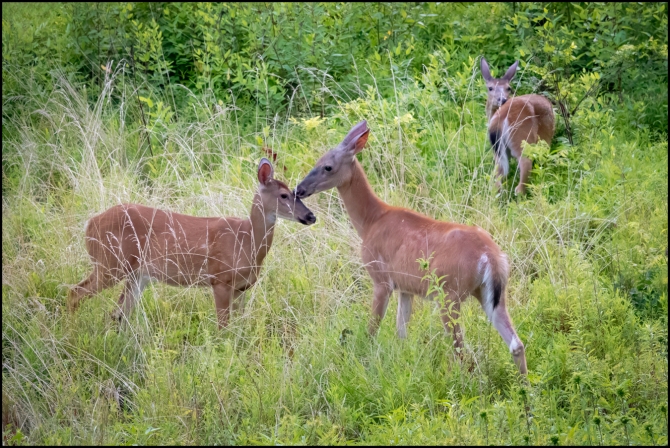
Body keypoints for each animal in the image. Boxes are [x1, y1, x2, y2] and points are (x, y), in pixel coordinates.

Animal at [68, 159, 318, 328]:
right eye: (284, 195)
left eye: (297, 193)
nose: (311, 216)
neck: (246, 240)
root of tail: (90, 224)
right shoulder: (220, 279)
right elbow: (223, 328)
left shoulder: (242, 287)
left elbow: (239, 327)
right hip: (110, 262)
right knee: (75, 292)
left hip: (137, 273)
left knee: (119, 312)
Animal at [296, 120, 528, 374]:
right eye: (317, 160)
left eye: (327, 167)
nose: (299, 189)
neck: (371, 220)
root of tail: (491, 257)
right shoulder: (406, 287)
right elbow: (401, 333)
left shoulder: (381, 279)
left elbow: (372, 329)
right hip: (492, 294)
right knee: (515, 343)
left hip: (449, 293)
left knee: (461, 349)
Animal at [484, 57, 556, 195]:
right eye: (490, 88)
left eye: (508, 88)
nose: (502, 99)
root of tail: (502, 117)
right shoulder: (546, 139)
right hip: (523, 138)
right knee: (525, 167)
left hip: (499, 151)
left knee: (497, 181)